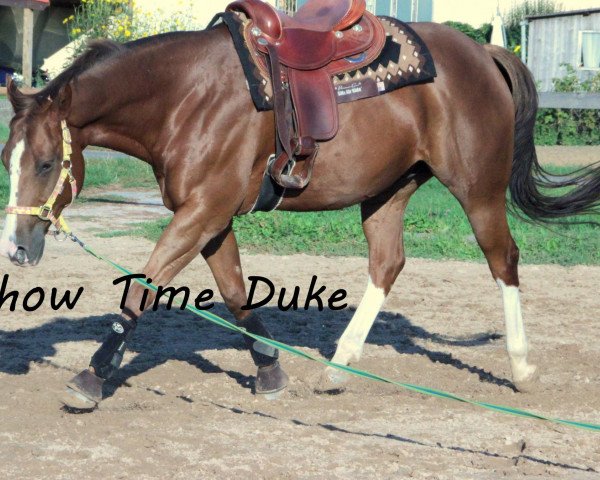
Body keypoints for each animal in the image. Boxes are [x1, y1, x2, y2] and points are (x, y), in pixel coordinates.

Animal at [1, 20, 600, 406]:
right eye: (8, 158)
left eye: (48, 162)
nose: (18, 247)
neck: (185, 95)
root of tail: (483, 55)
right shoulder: (211, 218)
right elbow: (236, 293)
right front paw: (269, 369)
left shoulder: (202, 212)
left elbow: (142, 288)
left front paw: (92, 375)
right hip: (388, 191)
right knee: (387, 265)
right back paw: (336, 369)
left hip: (478, 190)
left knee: (503, 259)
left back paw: (521, 367)